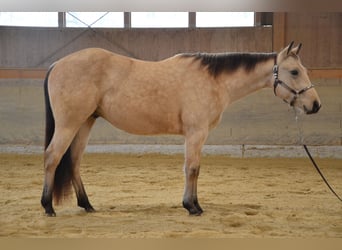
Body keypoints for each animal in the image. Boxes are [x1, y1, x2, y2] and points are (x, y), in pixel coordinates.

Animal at [41, 42, 322, 216]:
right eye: (294, 71)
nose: (315, 105)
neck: (213, 80)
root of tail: (56, 64)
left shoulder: (198, 135)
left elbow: (194, 169)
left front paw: (194, 204)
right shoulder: (196, 132)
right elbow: (192, 168)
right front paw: (191, 207)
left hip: (85, 122)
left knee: (73, 161)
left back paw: (86, 205)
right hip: (69, 124)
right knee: (52, 157)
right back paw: (48, 207)